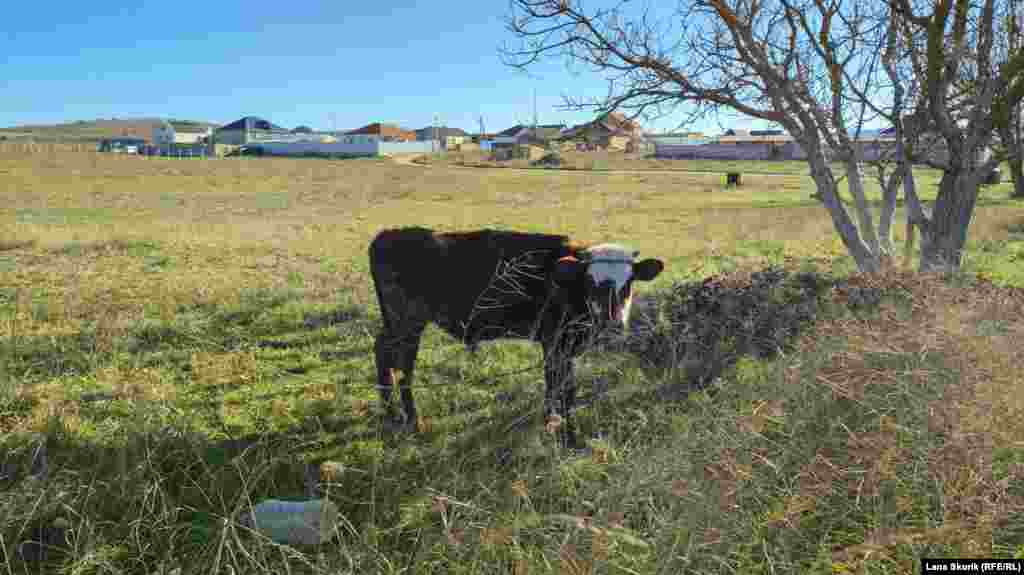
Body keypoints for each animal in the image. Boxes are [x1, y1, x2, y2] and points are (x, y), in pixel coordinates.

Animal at [368, 226, 663, 446]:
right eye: (591, 282)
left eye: (629, 282)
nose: (614, 323)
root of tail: (387, 235)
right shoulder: (554, 341)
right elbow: (561, 385)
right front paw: (564, 431)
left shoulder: (562, 345)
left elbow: (559, 384)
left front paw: (555, 422)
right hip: (407, 324)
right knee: (402, 366)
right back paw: (411, 420)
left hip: (398, 325)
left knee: (383, 352)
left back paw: (391, 413)